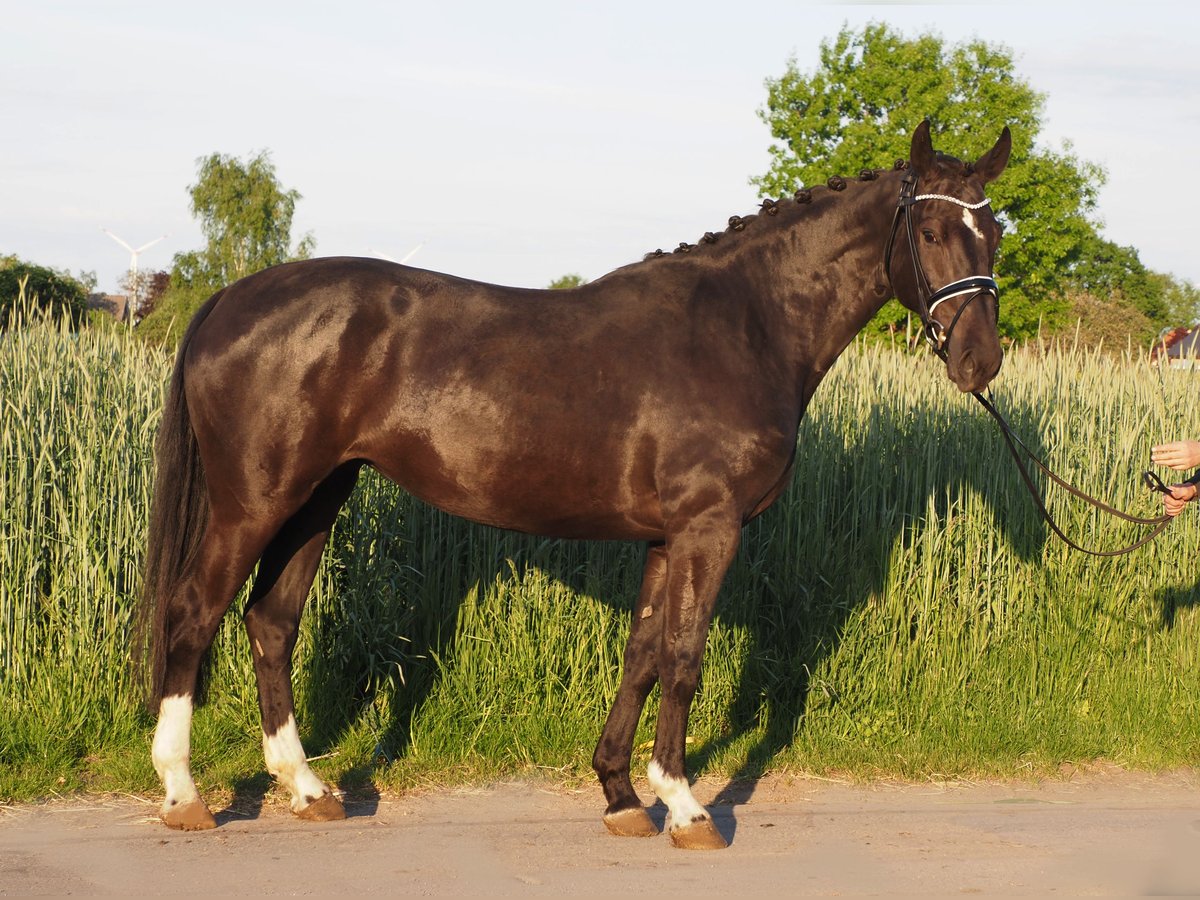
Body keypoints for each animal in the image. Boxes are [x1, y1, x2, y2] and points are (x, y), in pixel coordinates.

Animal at [142, 121, 1012, 854]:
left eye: (994, 232)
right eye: (931, 232)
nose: (980, 361)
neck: (744, 324)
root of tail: (230, 298)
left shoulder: (666, 536)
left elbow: (643, 653)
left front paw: (622, 795)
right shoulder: (710, 528)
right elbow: (685, 657)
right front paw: (687, 807)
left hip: (318, 498)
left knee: (270, 623)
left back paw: (308, 788)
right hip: (254, 503)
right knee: (192, 613)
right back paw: (185, 795)